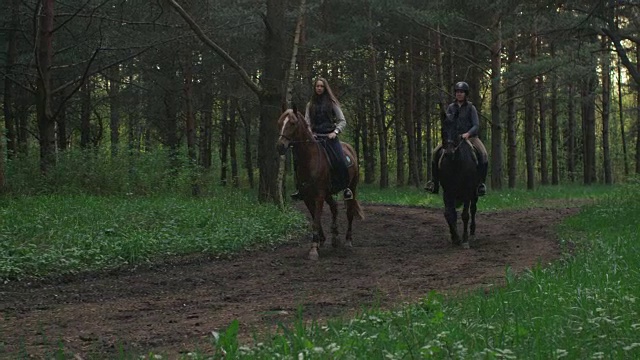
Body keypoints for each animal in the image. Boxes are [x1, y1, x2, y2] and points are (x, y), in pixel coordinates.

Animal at [276, 105, 364, 260]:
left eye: (292, 123)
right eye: (280, 123)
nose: (280, 146)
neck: (309, 159)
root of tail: (350, 148)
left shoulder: (319, 196)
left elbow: (316, 220)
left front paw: (313, 249)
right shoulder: (307, 197)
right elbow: (314, 218)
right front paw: (320, 241)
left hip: (351, 188)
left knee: (349, 212)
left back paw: (348, 240)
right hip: (328, 193)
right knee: (334, 207)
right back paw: (335, 237)